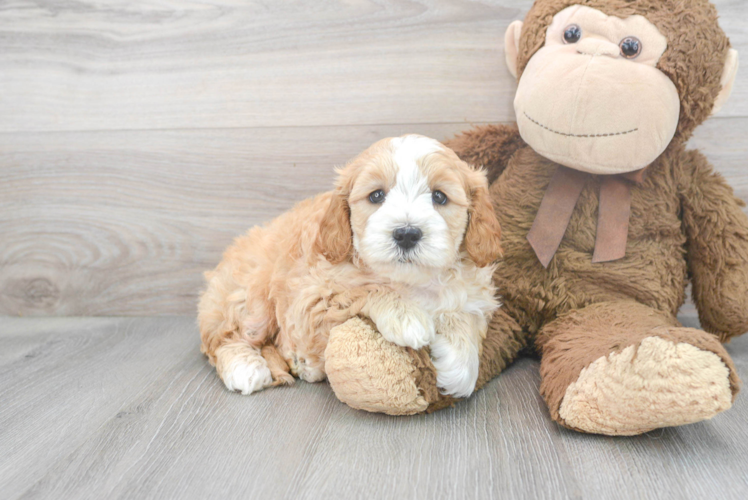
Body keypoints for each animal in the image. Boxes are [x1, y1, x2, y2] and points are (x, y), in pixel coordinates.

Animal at [199, 134, 502, 398]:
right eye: (376, 196)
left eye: (439, 197)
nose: (406, 234)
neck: (408, 281)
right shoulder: (309, 302)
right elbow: (363, 290)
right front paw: (406, 317)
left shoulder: (472, 292)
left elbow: (465, 316)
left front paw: (459, 368)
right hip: (251, 295)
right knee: (224, 338)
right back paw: (246, 368)